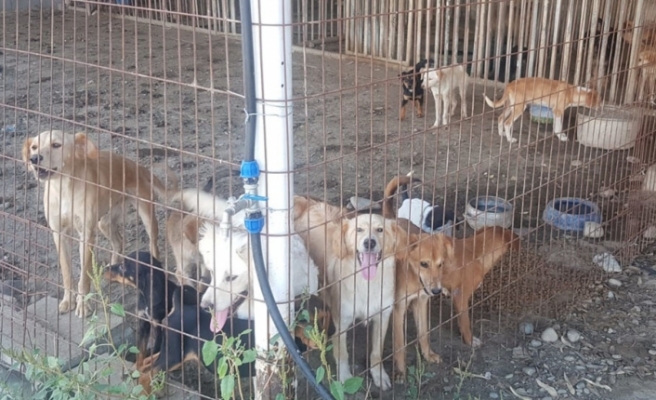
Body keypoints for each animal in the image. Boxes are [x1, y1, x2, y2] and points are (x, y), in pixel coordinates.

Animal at [22, 130, 176, 317]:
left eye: (56, 145)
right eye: (34, 147)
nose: (34, 158)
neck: (63, 188)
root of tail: (138, 166)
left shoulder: (86, 235)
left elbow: (84, 276)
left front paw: (83, 305)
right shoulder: (59, 234)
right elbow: (66, 272)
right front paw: (68, 301)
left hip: (146, 214)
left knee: (153, 243)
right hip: (104, 223)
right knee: (119, 241)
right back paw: (113, 268)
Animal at [138, 285, 336, 395]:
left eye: (322, 320)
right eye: (302, 321)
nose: (319, 341)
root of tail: (179, 306)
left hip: (172, 352)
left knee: (145, 365)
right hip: (174, 354)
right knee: (147, 372)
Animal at [392, 233, 452, 383]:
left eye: (440, 264)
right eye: (424, 264)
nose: (436, 291)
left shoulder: (421, 302)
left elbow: (424, 333)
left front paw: (428, 354)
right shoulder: (398, 309)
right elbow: (400, 344)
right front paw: (400, 371)